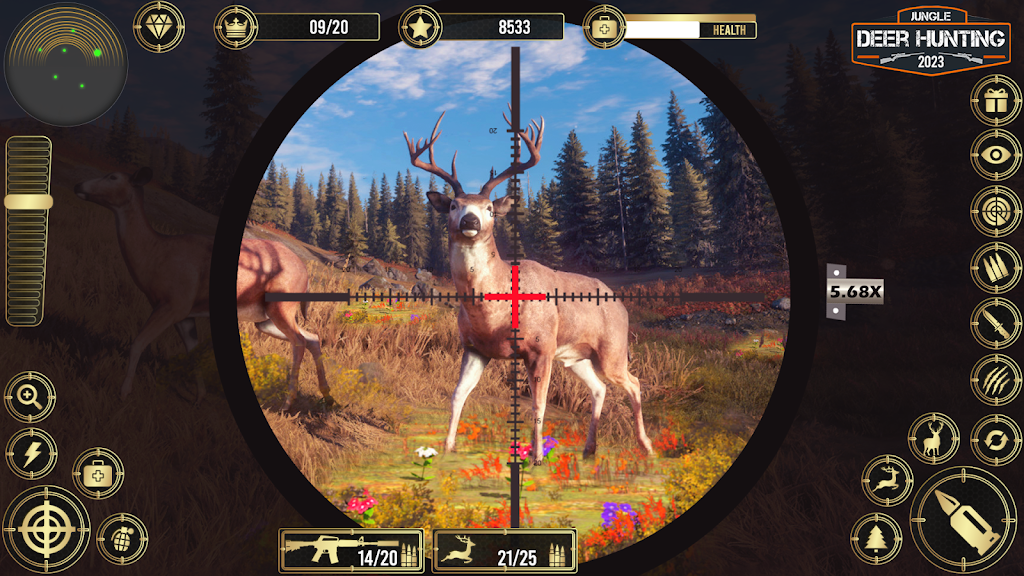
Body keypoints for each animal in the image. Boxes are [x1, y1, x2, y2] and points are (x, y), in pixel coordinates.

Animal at [74, 167, 211, 403]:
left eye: (113, 177)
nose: (79, 184)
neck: (155, 256)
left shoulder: (174, 303)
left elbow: (137, 342)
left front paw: (124, 391)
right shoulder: (185, 312)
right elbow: (193, 354)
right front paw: (198, 397)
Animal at [237, 237, 334, 411]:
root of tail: (303, 269)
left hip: (279, 313)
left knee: (300, 341)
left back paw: (287, 404)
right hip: (266, 323)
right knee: (312, 338)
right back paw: (327, 396)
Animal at [405, 109, 653, 465]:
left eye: (489, 209)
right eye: (453, 206)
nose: (470, 221)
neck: (492, 313)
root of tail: (619, 303)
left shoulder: (541, 346)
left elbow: (538, 403)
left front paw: (536, 456)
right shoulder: (474, 348)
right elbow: (457, 394)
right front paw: (447, 446)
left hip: (612, 349)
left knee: (633, 383)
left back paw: (646, 446)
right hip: (577, 357)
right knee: (599, 387)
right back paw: (589, 449)